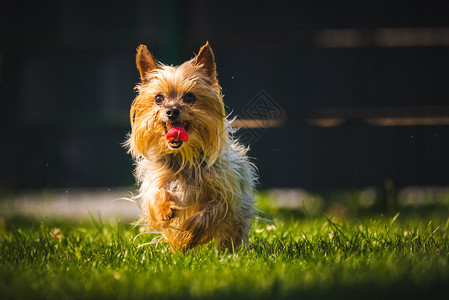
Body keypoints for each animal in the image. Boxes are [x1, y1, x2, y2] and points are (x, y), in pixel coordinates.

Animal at [126, 42, 258, 251]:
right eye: (158, 98)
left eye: (189, 98)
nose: (171, 111)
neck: (184, 155)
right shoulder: (157, 178)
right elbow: (157, 194)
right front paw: (165, 209)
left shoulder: (224, 197)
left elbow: (207, 215)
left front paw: (187, 234)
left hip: (238, 217)